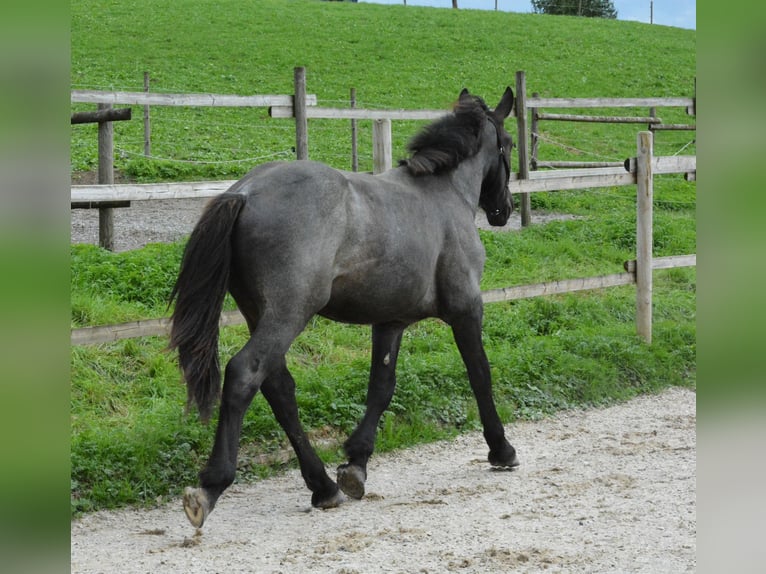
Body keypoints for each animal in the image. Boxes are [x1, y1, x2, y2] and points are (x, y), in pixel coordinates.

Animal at [170, 86, 520, 532]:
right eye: (509, 143)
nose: (504, 210)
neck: (443, 195)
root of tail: (245, 193)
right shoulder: (466, 310)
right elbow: (480, 375)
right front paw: (502, 449)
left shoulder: (390, 321)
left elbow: (381, 388)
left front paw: (356, 464)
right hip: (288, 313)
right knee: (245, 374)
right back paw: (211, 486)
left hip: (259, 313)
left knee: (278, 387)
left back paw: (323, 486)